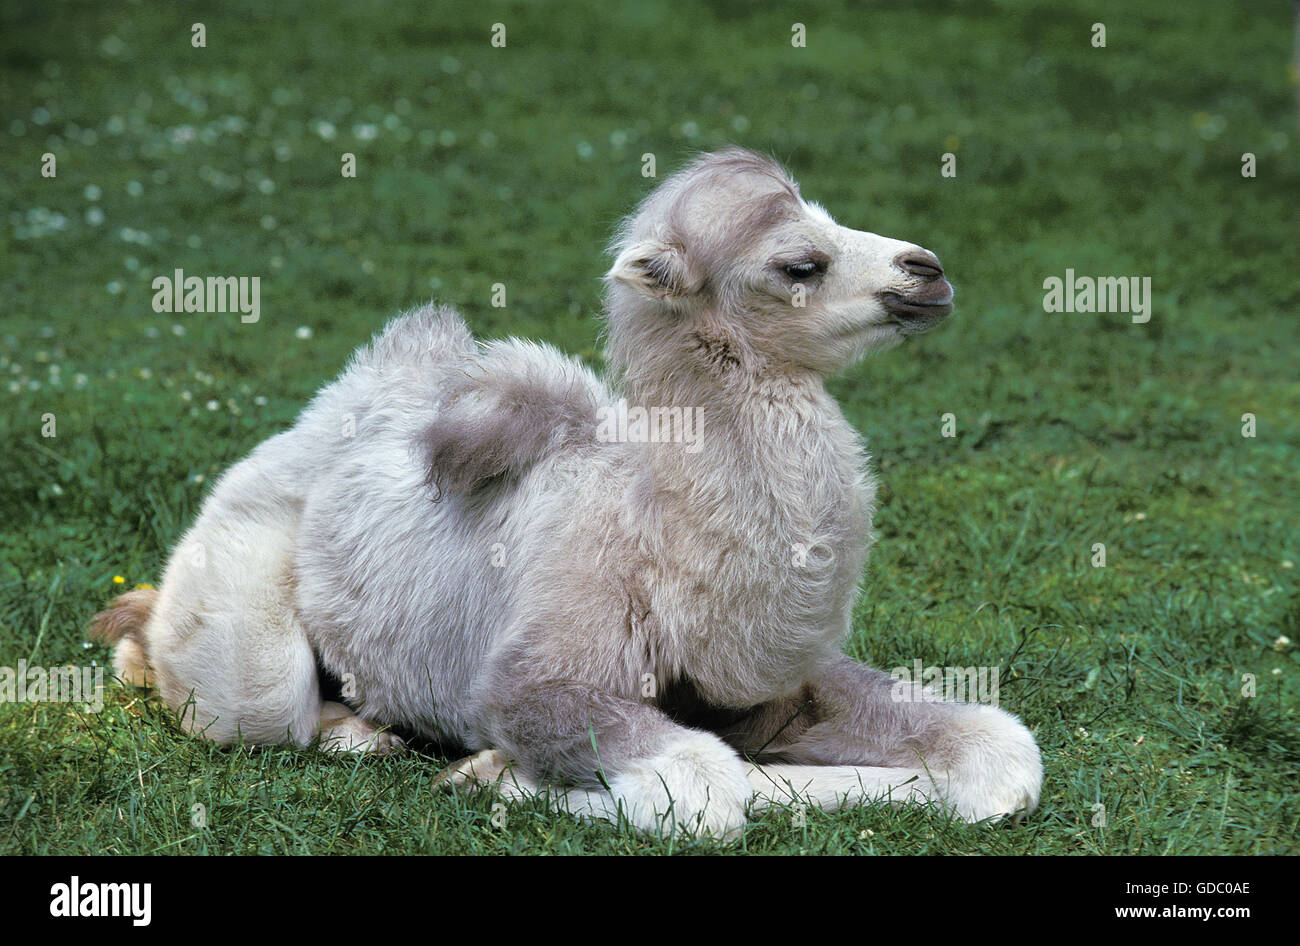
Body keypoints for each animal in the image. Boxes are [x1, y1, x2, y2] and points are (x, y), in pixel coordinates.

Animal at [94, 146, 1045, 836]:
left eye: (833, 216)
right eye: (799, 264)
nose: (927, 271)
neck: (667, 535)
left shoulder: (778, 683)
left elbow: (1004, 754)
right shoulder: (540, 671)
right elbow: (701, 788)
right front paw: (493, 775)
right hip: (241, 592)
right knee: (242, 696)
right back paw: (351, 731)